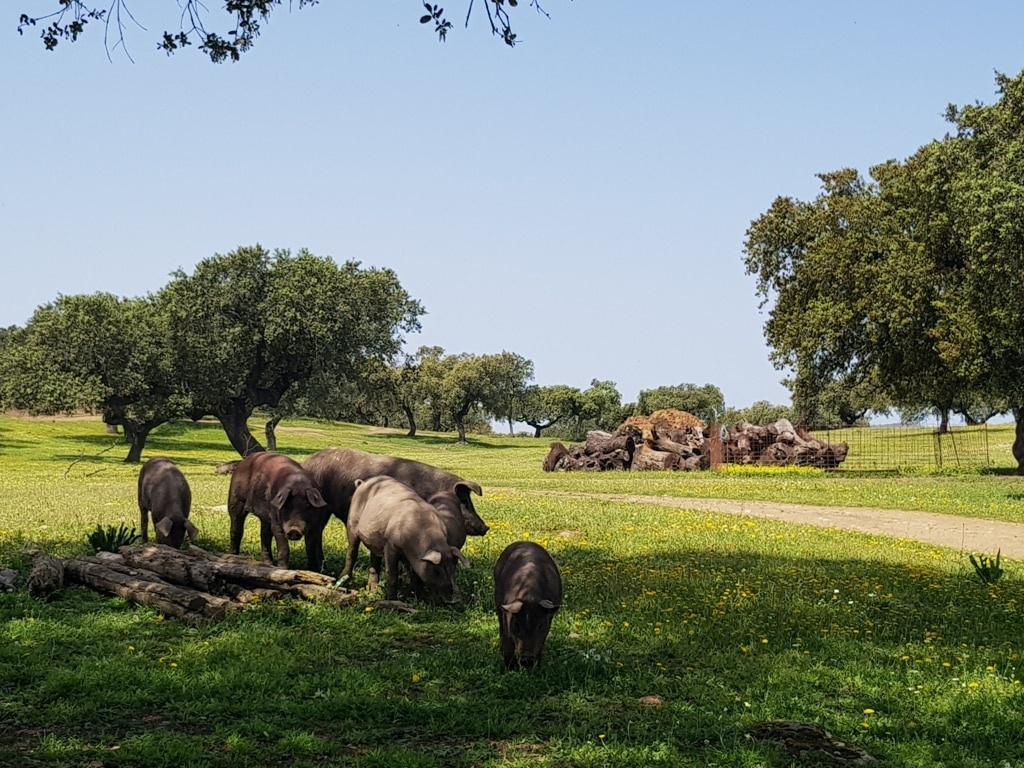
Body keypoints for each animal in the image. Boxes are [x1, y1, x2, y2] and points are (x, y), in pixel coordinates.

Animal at [344, 475, 471, 606]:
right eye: (437, 570)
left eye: (454, 567)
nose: (455, 600)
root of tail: (362, 483)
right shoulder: (390, 546)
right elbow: (392, 575)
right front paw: (392, 600)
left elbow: (415, 576)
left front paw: (416, 597)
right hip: (352, 523)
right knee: (352, 553)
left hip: (374, 542)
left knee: (374, 563)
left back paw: (373, 593)